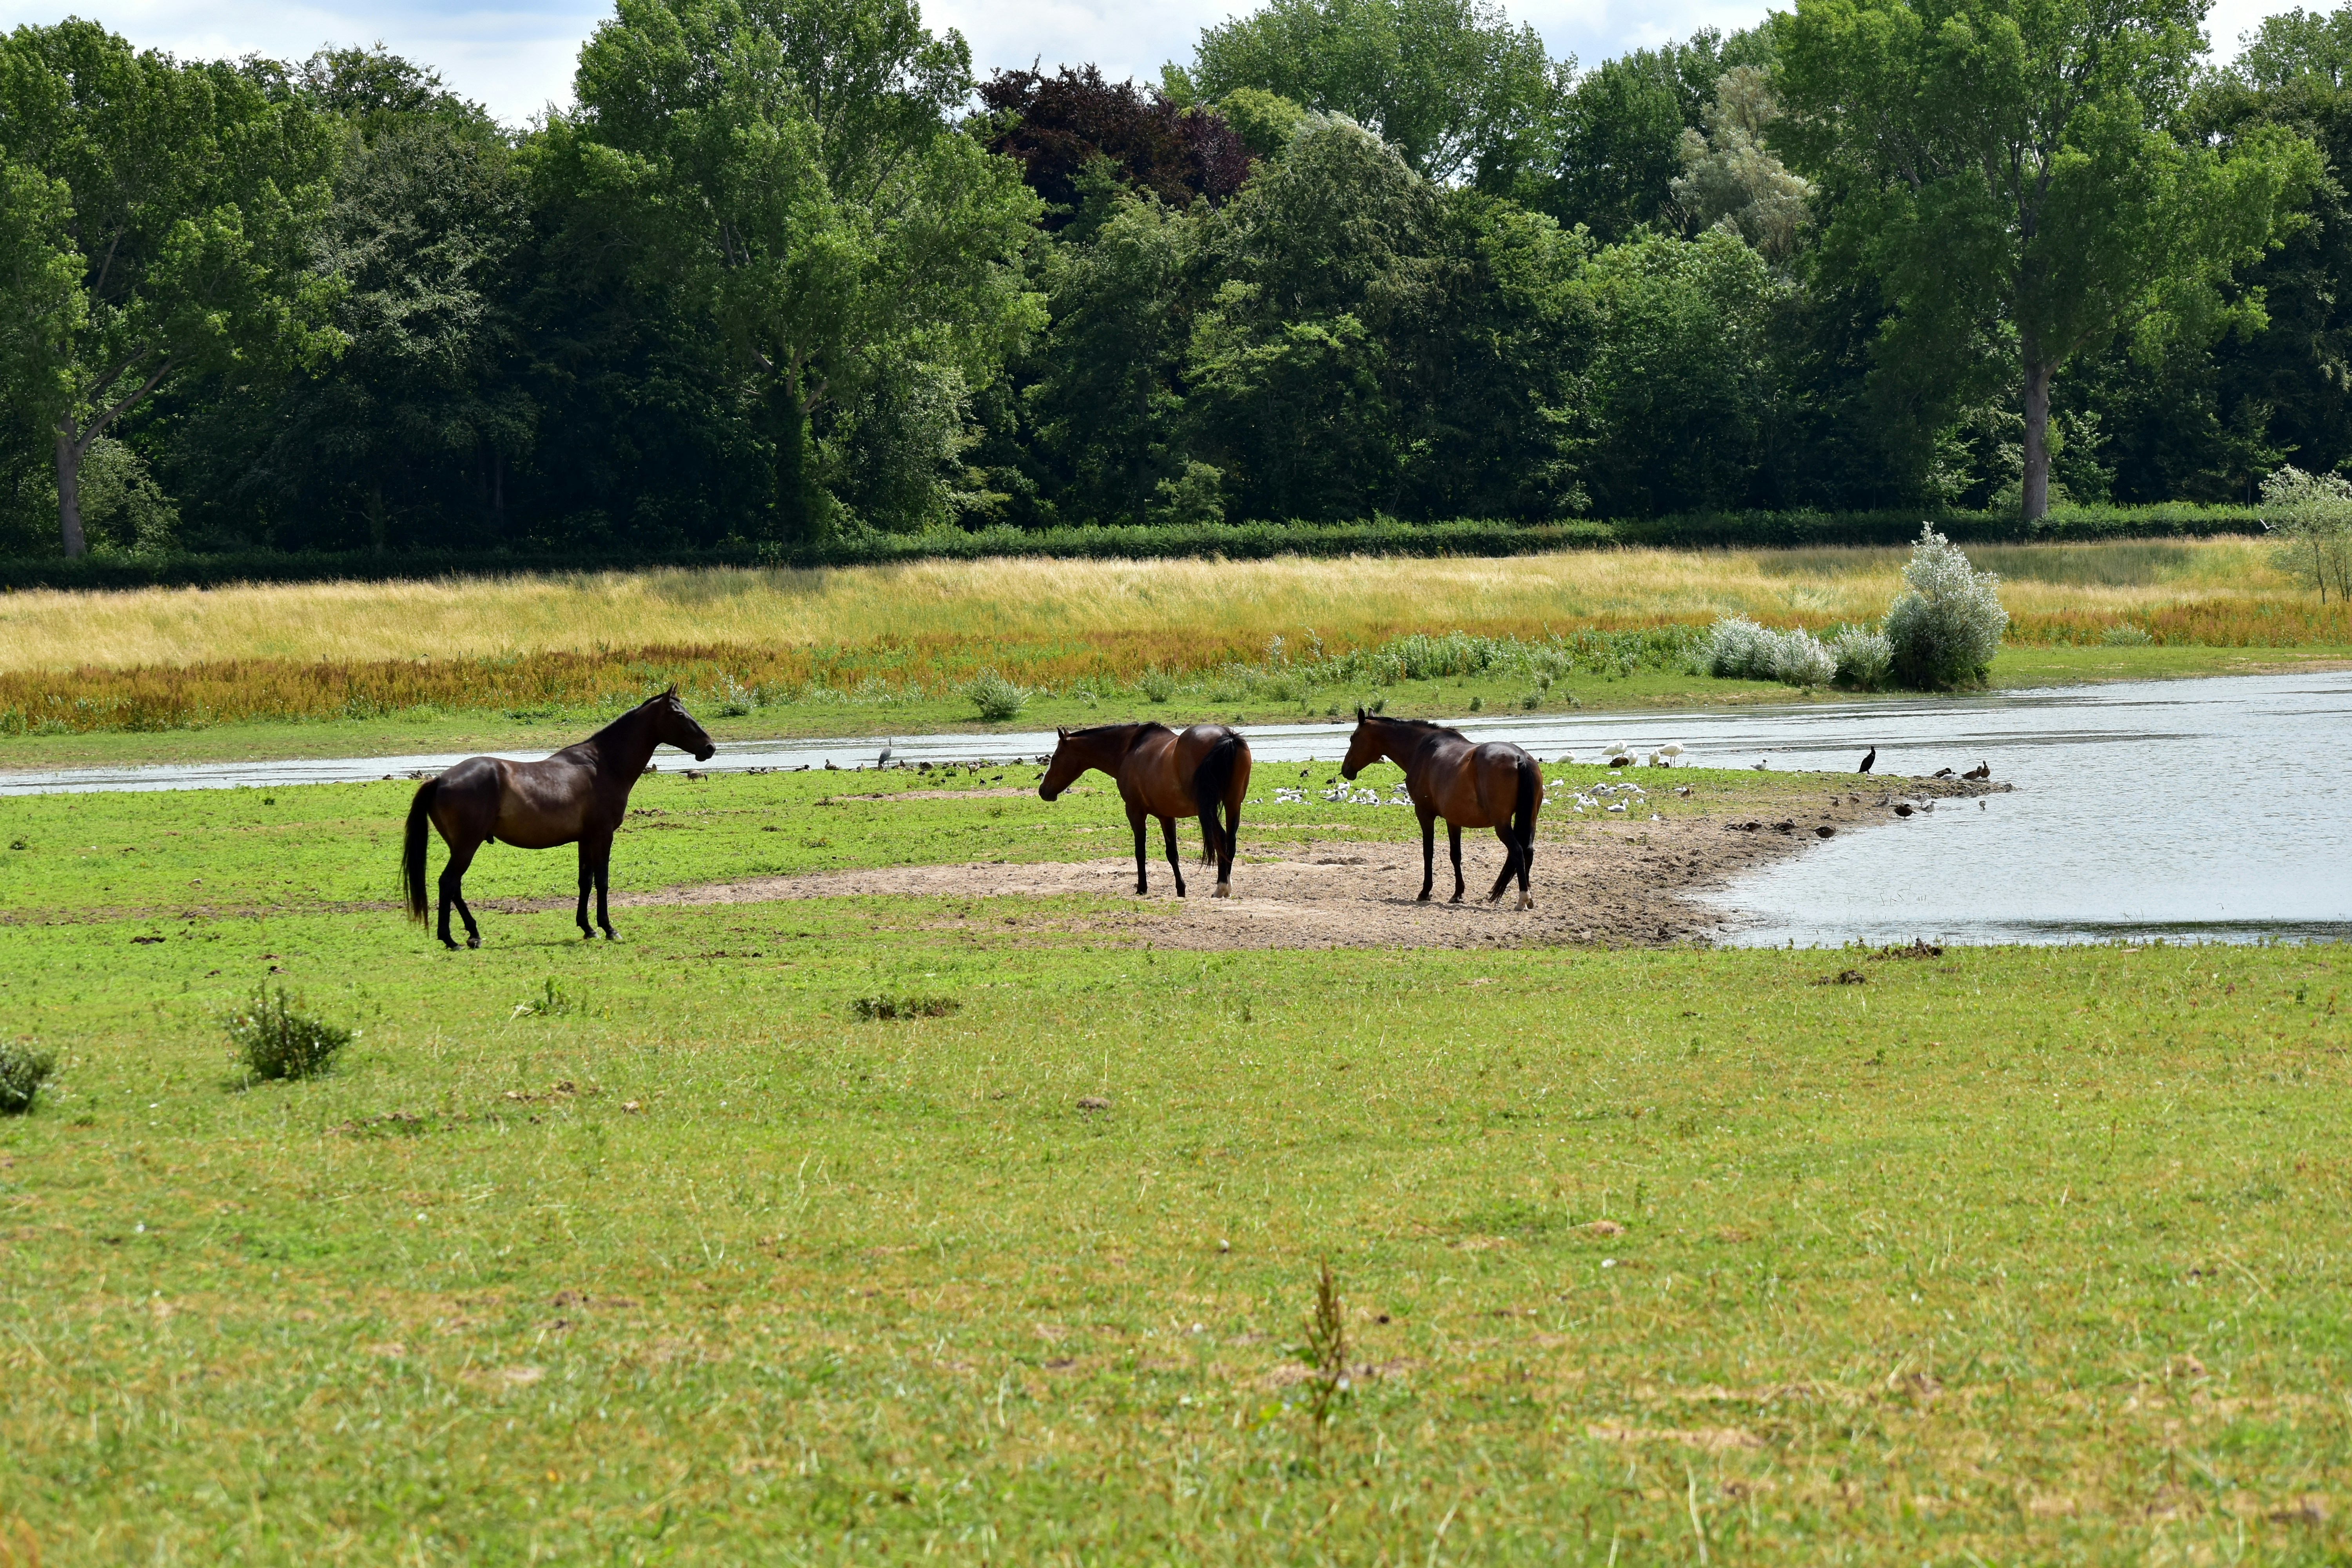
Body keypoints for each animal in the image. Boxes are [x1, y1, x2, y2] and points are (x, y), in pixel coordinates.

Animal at [401, 688, 716, 949]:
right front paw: (609, 929)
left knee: (454, 886)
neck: (603, 765)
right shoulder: (603, 835)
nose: (710, 747)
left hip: (461, 846)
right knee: (448, 882)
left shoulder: (585, 839)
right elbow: (602, 881)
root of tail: (440, 780)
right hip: (468, 845)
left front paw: (588, 928)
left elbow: (585, 881)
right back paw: (451, 939)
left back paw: (472, 934)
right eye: (679, 715)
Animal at [1038, 722, 1251, 897]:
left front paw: (1142, 888)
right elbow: (1172, 854)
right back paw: (1227, 886)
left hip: (1206, 810)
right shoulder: (1166, 816)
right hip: (1233, 804)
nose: (1042, 791)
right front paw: (1181, 890)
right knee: (1231, 841)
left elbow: (1140, 851)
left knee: (1220, 838)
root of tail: (1227, 737)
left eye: (1055, 758)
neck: (1129, 750)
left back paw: (1221, 887)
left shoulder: (1135, 812)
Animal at [1340, 709, 1541, 908]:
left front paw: (1425, 891)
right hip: (1530, 821)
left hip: (1502, 825)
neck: (1421, 749)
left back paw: (1523, 898)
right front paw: (1458, 893)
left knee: (1518, 851)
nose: (1345, 770)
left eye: (1353, 738)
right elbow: (1455, 855)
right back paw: (1529, 898)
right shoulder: (1454, 819)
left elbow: (1428, 852)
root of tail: (1520, 758)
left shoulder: (1424, 814)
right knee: (1528, 851)